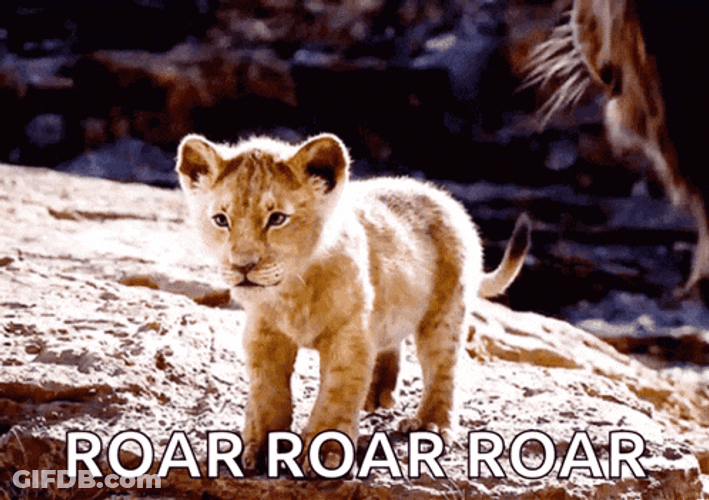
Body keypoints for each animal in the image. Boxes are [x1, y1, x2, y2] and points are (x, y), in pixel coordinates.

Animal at [175, 132, 531, 473]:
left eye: (277, 218)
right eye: (221, 220)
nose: (242, 266)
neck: (292, 291)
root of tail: (443, 196)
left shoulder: (349, 334)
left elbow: (337, 394)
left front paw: (325, 456)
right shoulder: (264, 335)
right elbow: (267, 394)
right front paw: (260, 451)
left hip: (444, 311)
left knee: (442, 366)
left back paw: (430, 423)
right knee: (390, 338)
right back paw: (378, 393)